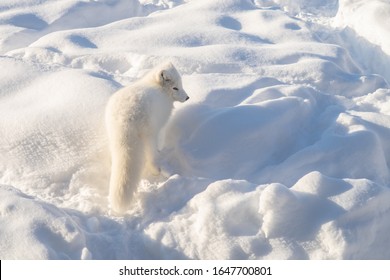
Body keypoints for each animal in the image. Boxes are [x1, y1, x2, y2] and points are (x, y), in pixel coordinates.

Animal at [103, 62, 189, 213]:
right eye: (175, 87)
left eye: (181, 85)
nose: (187, 98)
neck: (156, 87)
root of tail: (125, 119)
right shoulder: (160, 126)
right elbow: (160, 140)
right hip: (148, 135)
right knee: (151, 156)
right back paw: (157, 170)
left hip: (114, 137)